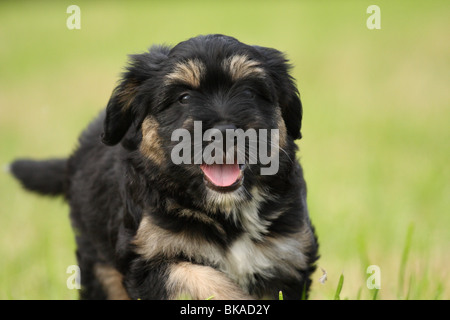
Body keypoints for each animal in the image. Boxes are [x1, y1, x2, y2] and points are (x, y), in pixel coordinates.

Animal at [11, 35, 320, 300]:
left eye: (248, 92)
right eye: (184, 98)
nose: (224, 133)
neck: (224, 210)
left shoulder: (289, 254)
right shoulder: (147, 256)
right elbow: (201, 279)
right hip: (97, 261)